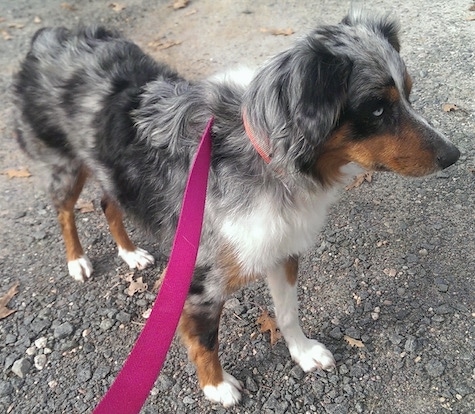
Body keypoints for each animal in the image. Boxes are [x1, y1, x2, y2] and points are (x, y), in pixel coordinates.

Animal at [13, 11, 462, 406]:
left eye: (408, 93)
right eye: (376, 108)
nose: (453, 155)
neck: (264, 155)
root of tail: (50, 36)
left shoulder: (282, 249)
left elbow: (288, 313)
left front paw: (302, 352)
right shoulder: (199, 282)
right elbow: (206, 340)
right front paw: (216, 387)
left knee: (107, 202)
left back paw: (130, 252)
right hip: (63, 167)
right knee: (65, 212)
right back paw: (78, 261)